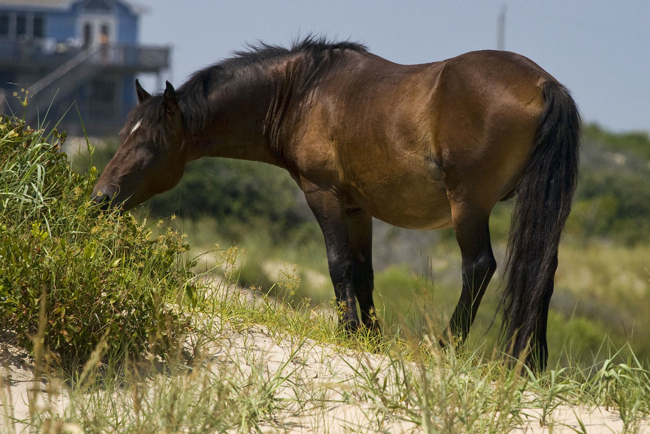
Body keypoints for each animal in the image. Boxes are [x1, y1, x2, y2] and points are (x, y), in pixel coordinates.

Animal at [92, 37, 580, 370]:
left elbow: (337, 263)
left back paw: (446, 346)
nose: (101, 197)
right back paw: (530, 364)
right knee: (542, 272)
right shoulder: (356, 207)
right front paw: (370, 338)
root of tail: (544, 84)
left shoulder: (322, 194)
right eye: (122, 134)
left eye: (149, 144)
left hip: (469, 206)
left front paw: (348, 332)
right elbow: (363, 271)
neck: (302, 92)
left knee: (479, 267)